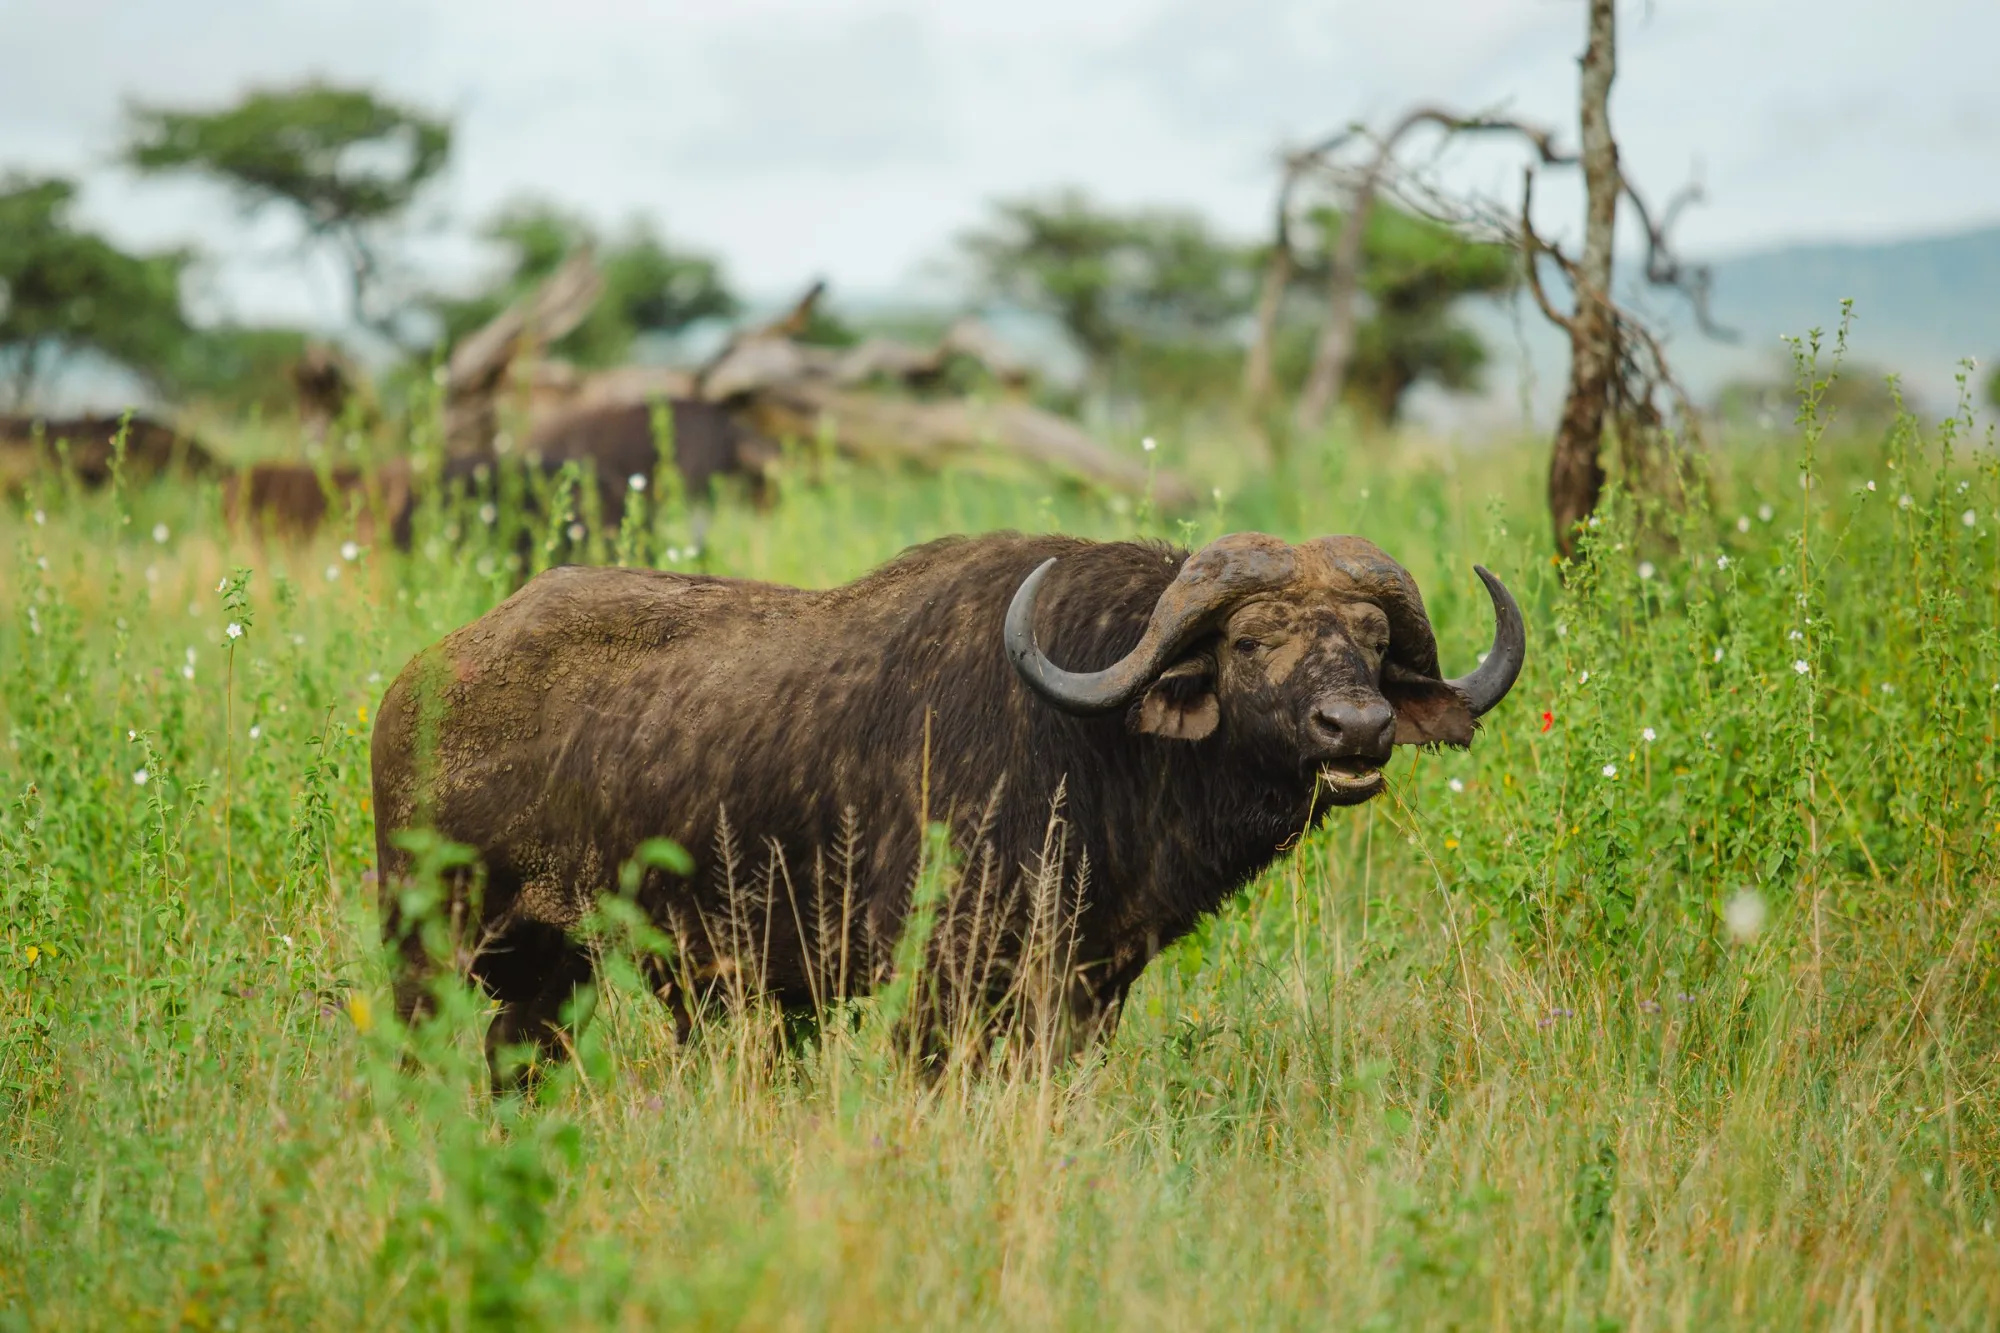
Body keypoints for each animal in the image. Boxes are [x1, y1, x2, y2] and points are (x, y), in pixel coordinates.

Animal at [371, 530, 1523, 1086]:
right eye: (1250, 639)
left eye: (1371, 638)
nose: (1357, 725)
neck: (1093, 742)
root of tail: (418, 682)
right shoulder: (939, 979)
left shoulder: (1086, 987)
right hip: (428, 945)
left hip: (550, 977)